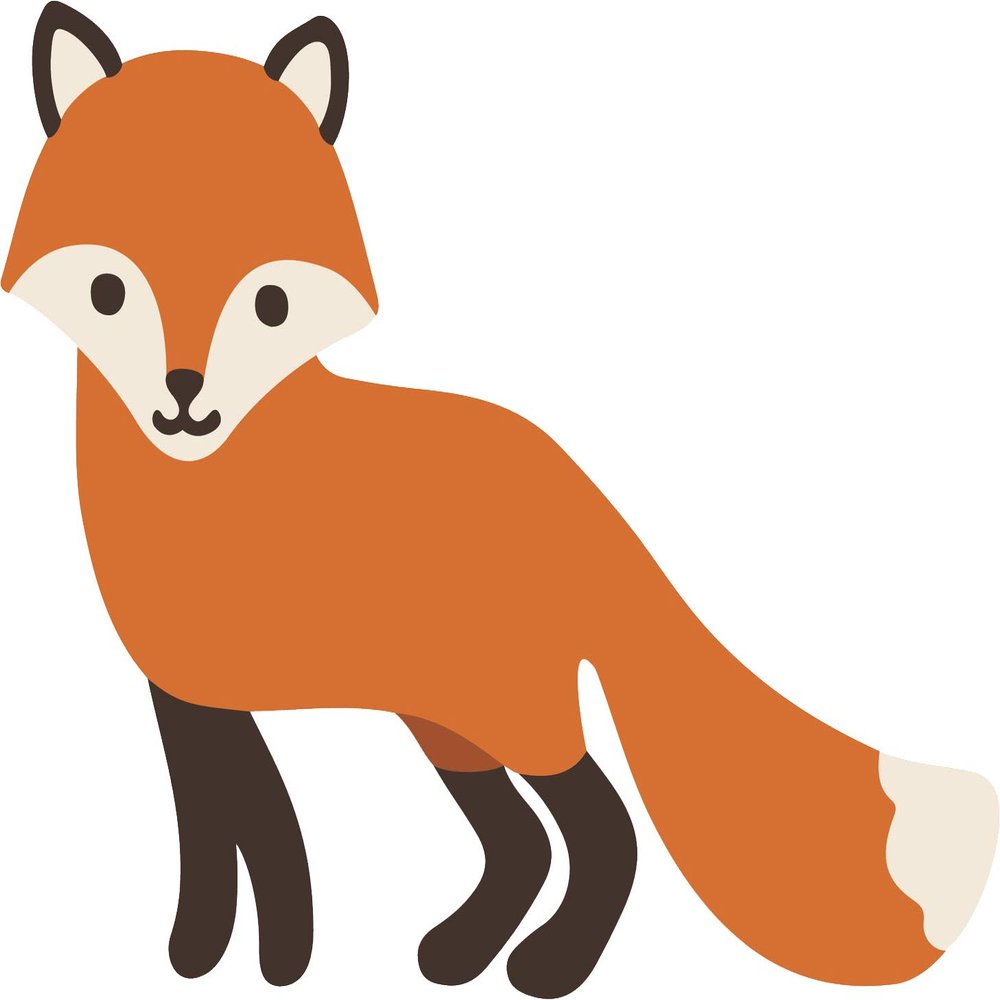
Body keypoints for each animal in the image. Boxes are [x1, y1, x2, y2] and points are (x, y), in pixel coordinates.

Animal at [2, 3, 997, 997]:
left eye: (270, 302)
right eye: (109, 289)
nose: (184, 397)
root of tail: (576, 485)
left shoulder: (217, 698)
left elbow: (272, 847)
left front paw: (278, 962)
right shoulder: (189, 699)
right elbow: (219, 840)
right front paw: (202, 952)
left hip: (508, 711)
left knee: (602, 829)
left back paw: (551, 964)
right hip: (448, 722)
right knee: (520, 844)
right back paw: (459, 952)